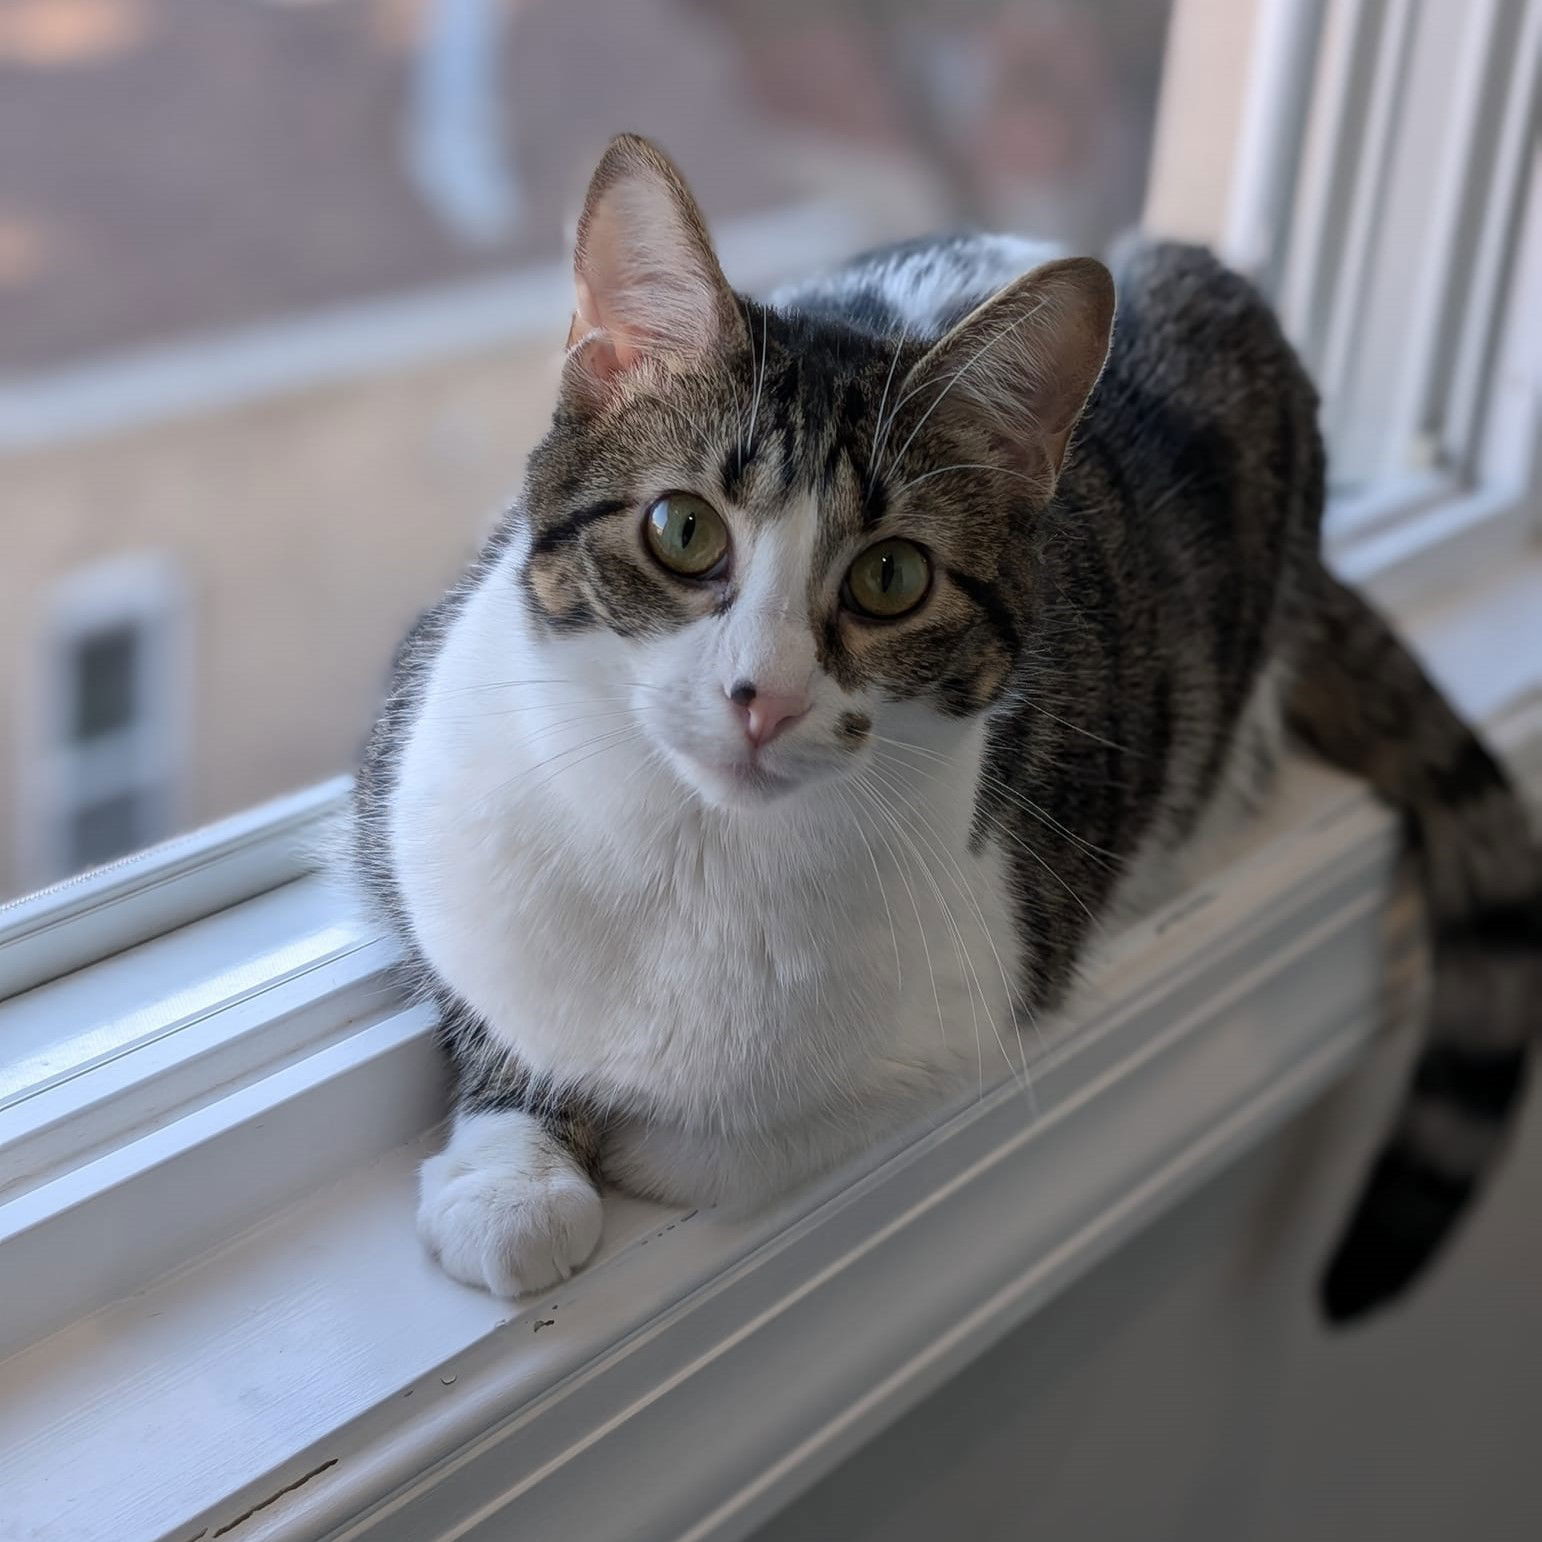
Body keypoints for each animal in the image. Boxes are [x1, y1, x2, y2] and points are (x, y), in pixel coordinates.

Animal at [353, 132, 1542, 1319]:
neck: (694, 848)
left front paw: (641, 1138)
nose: (763, 695)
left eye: (891, 577)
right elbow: (473, 977)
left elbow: (752, 1133)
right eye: (682, 529)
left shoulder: (986, 981)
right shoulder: (409, 773)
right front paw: (512, 1173)